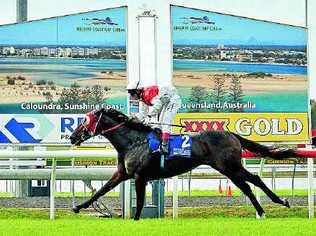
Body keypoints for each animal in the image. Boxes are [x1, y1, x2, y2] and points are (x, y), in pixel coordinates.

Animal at [70, 108, 302, 220]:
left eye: (85, 120)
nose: (72, 137)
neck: (133, 142)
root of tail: (231, 134)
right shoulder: (122, 174)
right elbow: (101, 191)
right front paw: (78, 207)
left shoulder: (139, 177)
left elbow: (141, 203)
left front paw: (135, 220)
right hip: (229, 168)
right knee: (250, 183)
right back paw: (269, 207)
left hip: (230, 167)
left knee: (252, 181)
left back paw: (272, 206)